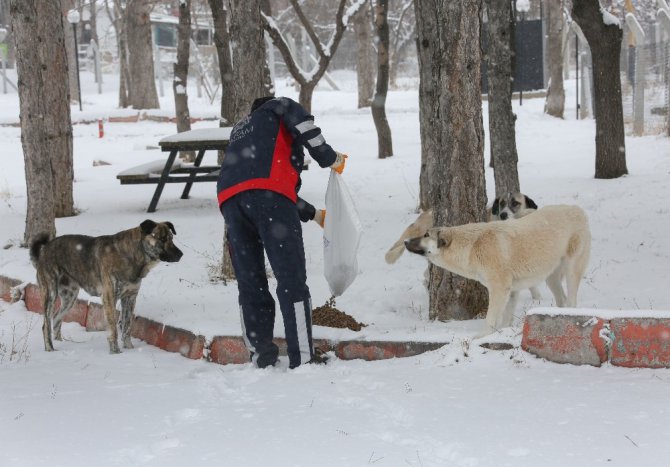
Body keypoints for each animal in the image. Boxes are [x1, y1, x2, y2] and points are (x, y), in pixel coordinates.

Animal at [404, 207, 588, 334]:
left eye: (426, 235)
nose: (405, 241)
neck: (471, 246)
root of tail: (578, 209)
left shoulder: (499, 288)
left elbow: (491, 318)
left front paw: (481, 337)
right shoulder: (511, 290)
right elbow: (506, 317)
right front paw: (503, 332)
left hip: (571, 270)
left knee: (571, 300)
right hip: (551, 278)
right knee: (562, 299)